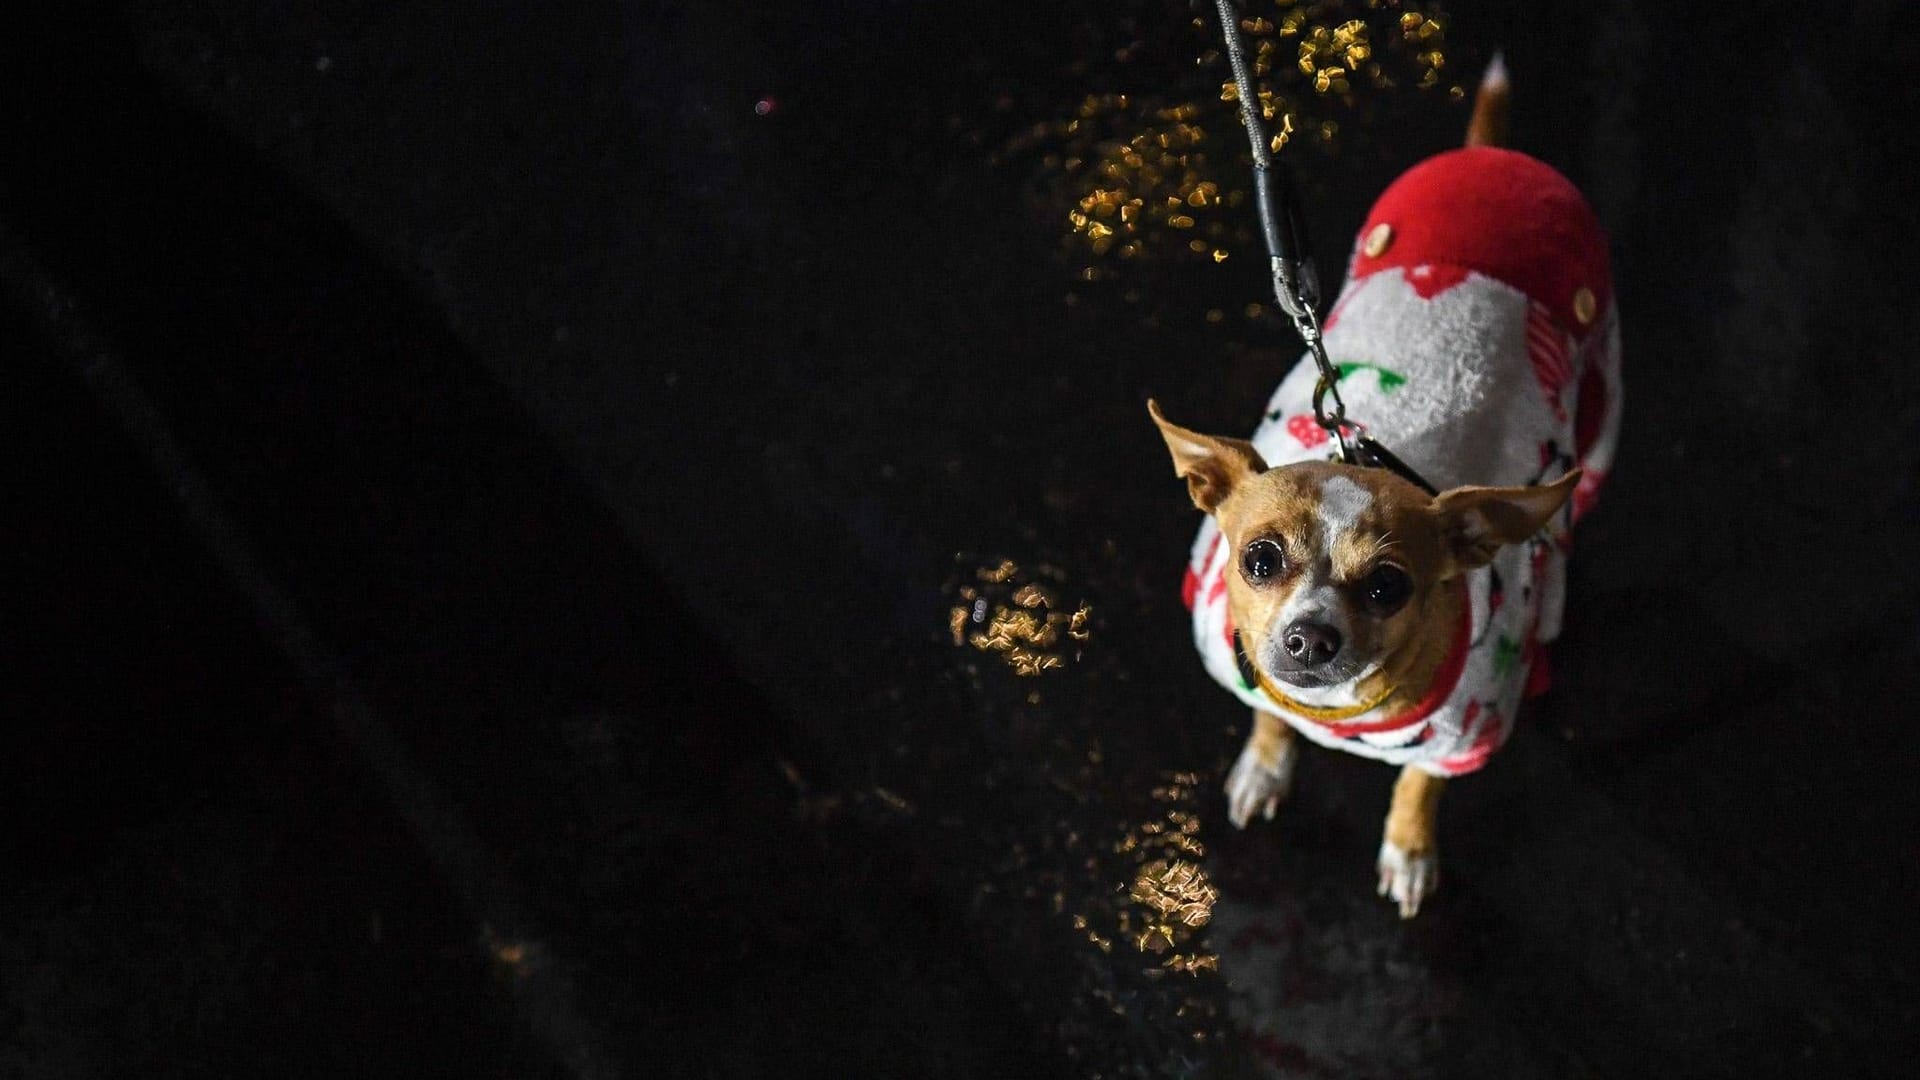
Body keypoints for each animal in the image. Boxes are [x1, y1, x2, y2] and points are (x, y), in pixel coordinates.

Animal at [1152, 58, 1620, 910]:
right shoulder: (1262, 684)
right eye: (1259, 559)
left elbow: (1418, 784)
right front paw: (1266, 764)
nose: (1309, 637)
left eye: (1388, 587)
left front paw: (1409, 848)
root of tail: (1489, 157)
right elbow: (1268, 718)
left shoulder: (1458, 742)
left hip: (1603, 387)